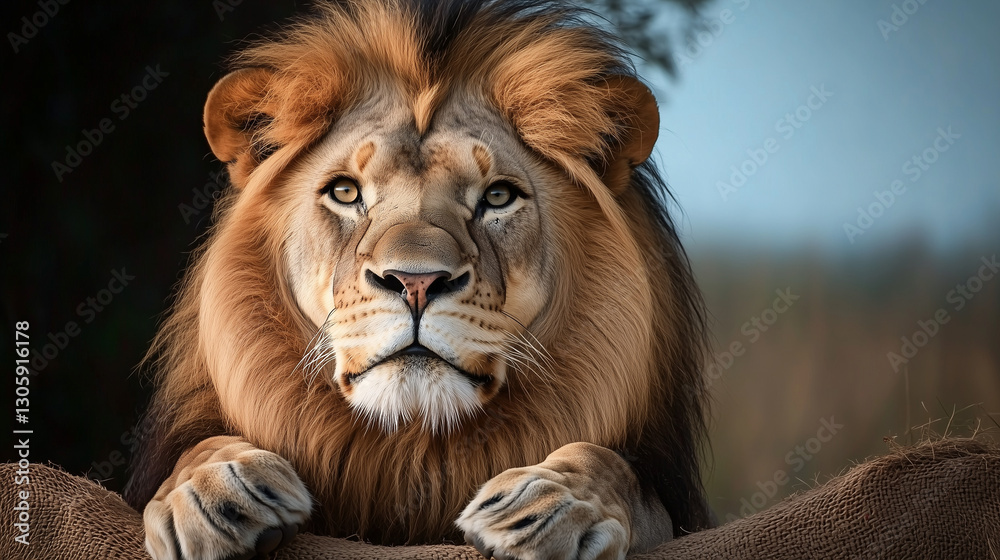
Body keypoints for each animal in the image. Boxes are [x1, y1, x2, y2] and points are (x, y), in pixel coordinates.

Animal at [123, 1, 713, 558]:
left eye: (498, 196)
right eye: (345, 192)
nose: (416, 282)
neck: (413, 445)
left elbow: (617, 470)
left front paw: (548, 505)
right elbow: (195, 451)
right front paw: (217, 493)